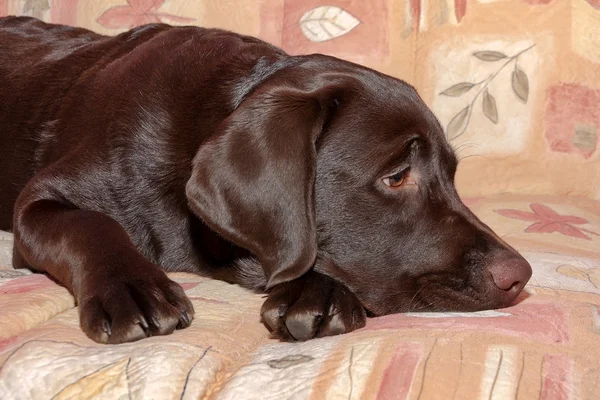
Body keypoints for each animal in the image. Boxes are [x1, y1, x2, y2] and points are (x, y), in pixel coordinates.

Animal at [1, 16, 536, 344]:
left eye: (451, 175)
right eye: (398, 175)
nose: (520, 276)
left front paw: (315, 291)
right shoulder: (38, 202)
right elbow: (91, 224)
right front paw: (133, 287)